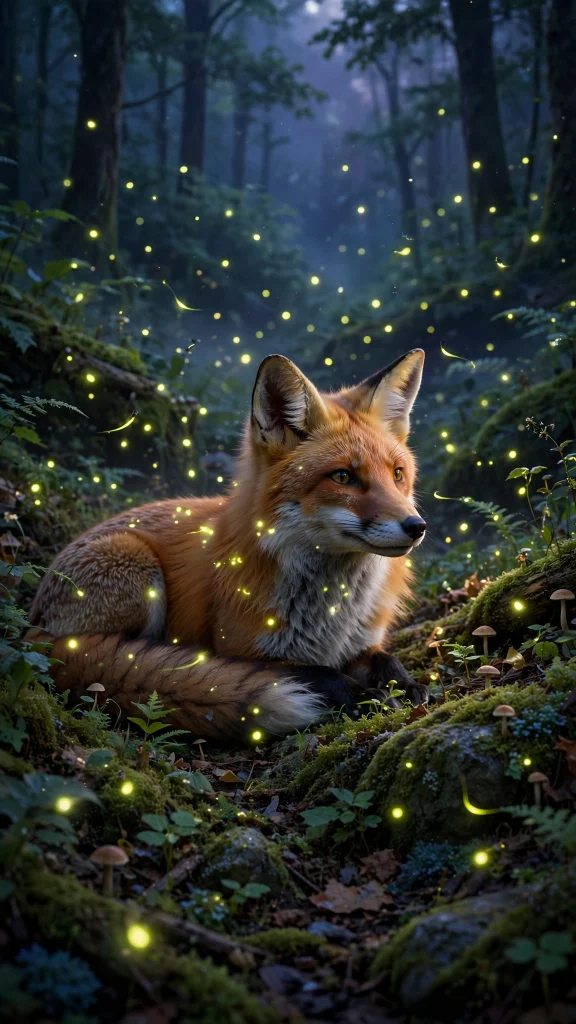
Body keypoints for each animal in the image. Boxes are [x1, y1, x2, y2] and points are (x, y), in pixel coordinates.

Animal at [28, 348, 429, 742]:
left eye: (397, 474)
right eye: (343, 477)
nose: (417, 527)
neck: (332, 614)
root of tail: (33, 630)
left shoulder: (360, 643)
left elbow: (386, 658)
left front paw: (407, 684)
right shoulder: (244, 653)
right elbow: (321, 673)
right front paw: (365, 697)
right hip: (136, 570)